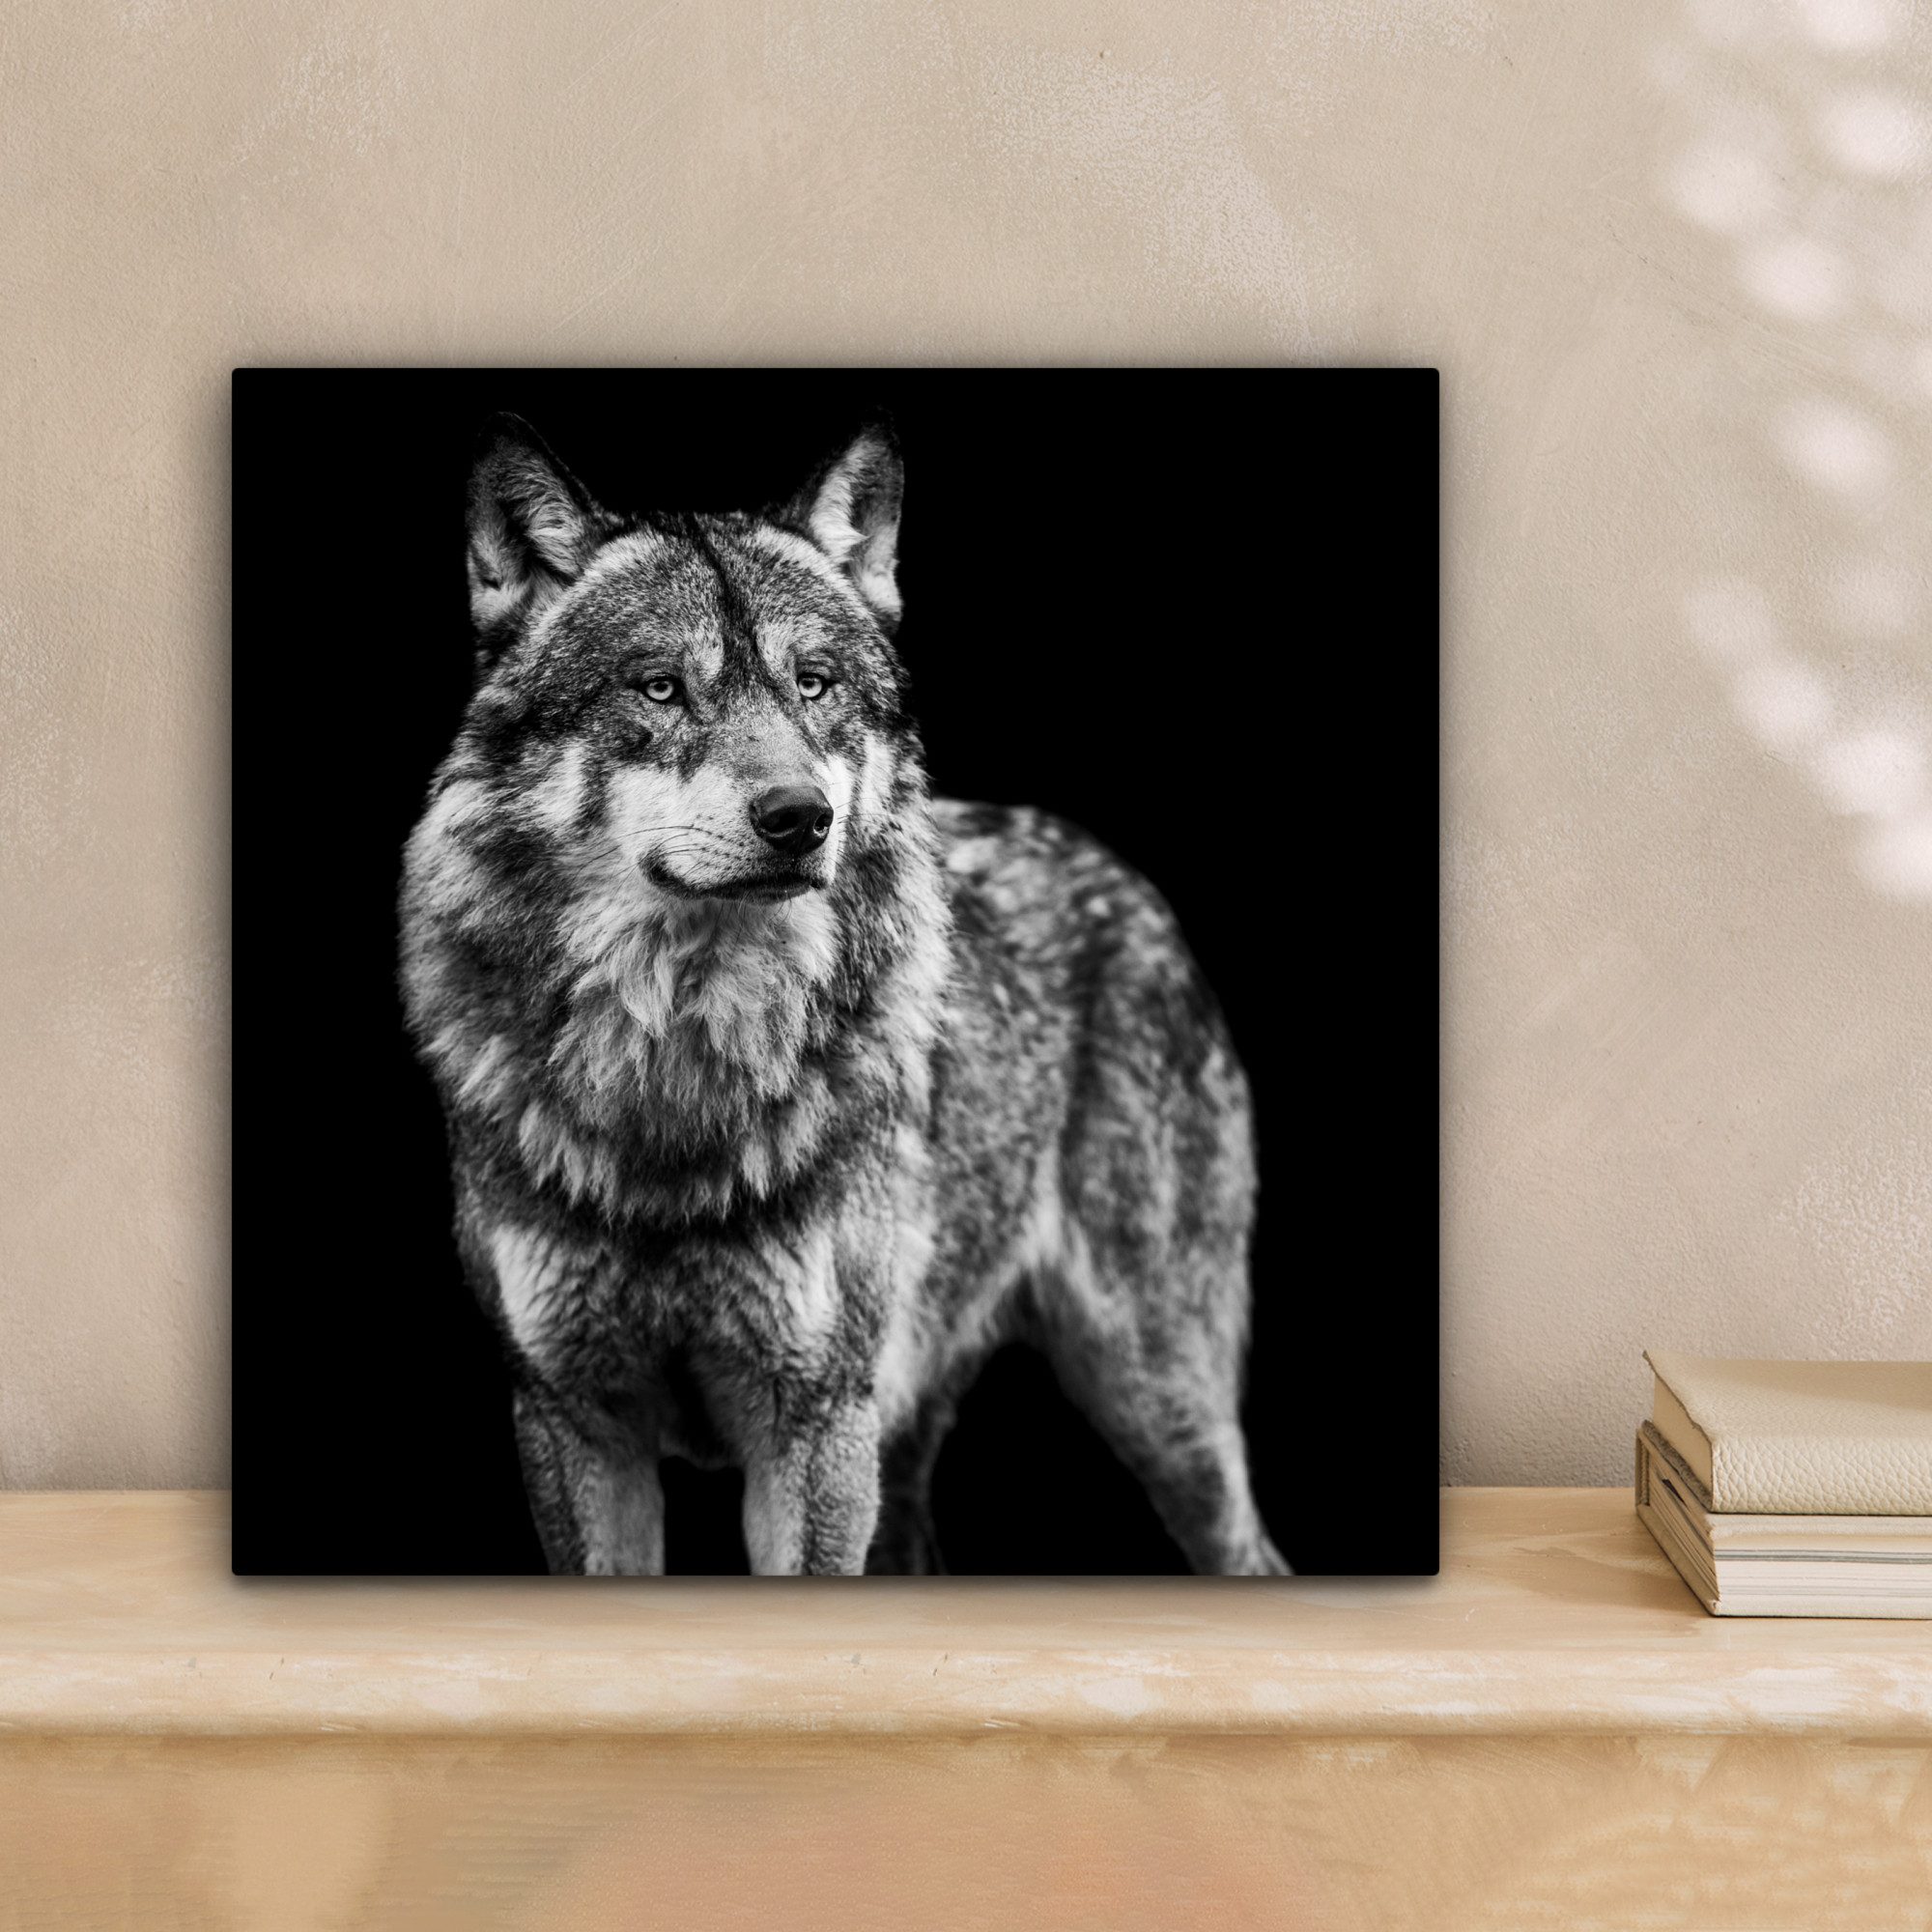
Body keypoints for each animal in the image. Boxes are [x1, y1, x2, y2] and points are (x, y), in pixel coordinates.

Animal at [398, 413, 1287, 1576]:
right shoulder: (570, 1421)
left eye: (812, 684)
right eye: (660, 688)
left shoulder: (813, 1423)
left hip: (1152, 1398)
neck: (681, 1071)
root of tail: (1124, 878)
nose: (799, 817)